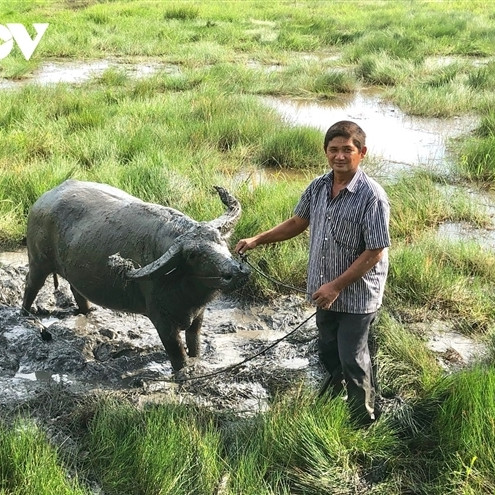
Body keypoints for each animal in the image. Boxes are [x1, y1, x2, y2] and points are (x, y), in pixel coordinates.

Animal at [21, 180, 250, 370]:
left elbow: (194, 343)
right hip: (38, 262)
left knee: (76, 290)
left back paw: (88, 312)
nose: (237, 272)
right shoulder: (161, 320)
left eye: (220, 240)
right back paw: (25, 315)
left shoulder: (198, 315)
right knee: (31, 285)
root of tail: (41, 201)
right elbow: (177, 353)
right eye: (193, 255)